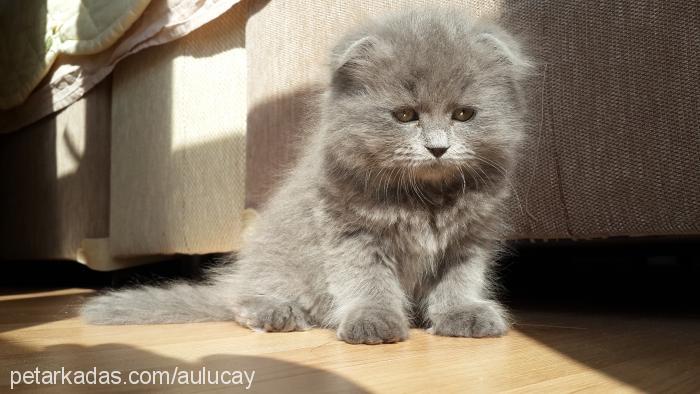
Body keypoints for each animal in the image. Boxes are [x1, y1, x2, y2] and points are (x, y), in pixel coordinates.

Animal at [82, 7, 532, 344]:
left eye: (464, 115)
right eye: (405, 115)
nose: (438, 148)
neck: (425, 198)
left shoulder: (469, 238)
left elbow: (461, 280)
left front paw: (463, 314)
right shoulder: (351, 234)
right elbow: (367, 281)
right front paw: (372, 320)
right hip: (279, 267)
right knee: (239, 301)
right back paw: (273, 313)